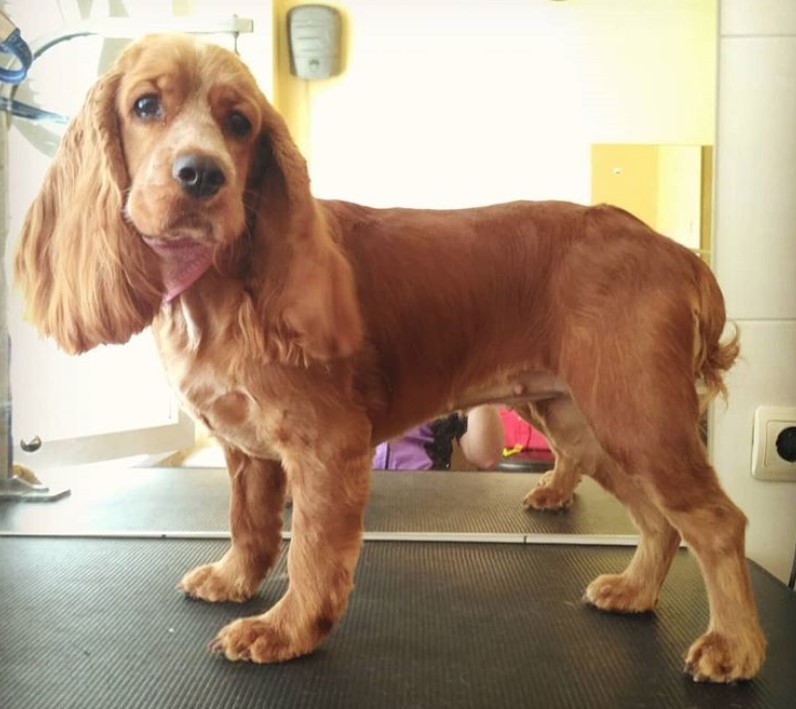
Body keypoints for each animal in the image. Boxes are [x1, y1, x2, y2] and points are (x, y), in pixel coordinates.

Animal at [14, 34, 764, 680]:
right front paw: (233, 581)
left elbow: (312, 550)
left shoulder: (326, 443)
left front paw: (285, 629)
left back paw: (734, 645)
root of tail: (677, 255)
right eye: (146, 105)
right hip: (584, 420)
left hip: (637, 413)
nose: (202, 176)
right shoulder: (247, 449)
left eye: (240, 123)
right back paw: (636, 590)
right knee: (658, 519)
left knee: (716, 523)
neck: (220, 286)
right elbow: (250, 524)